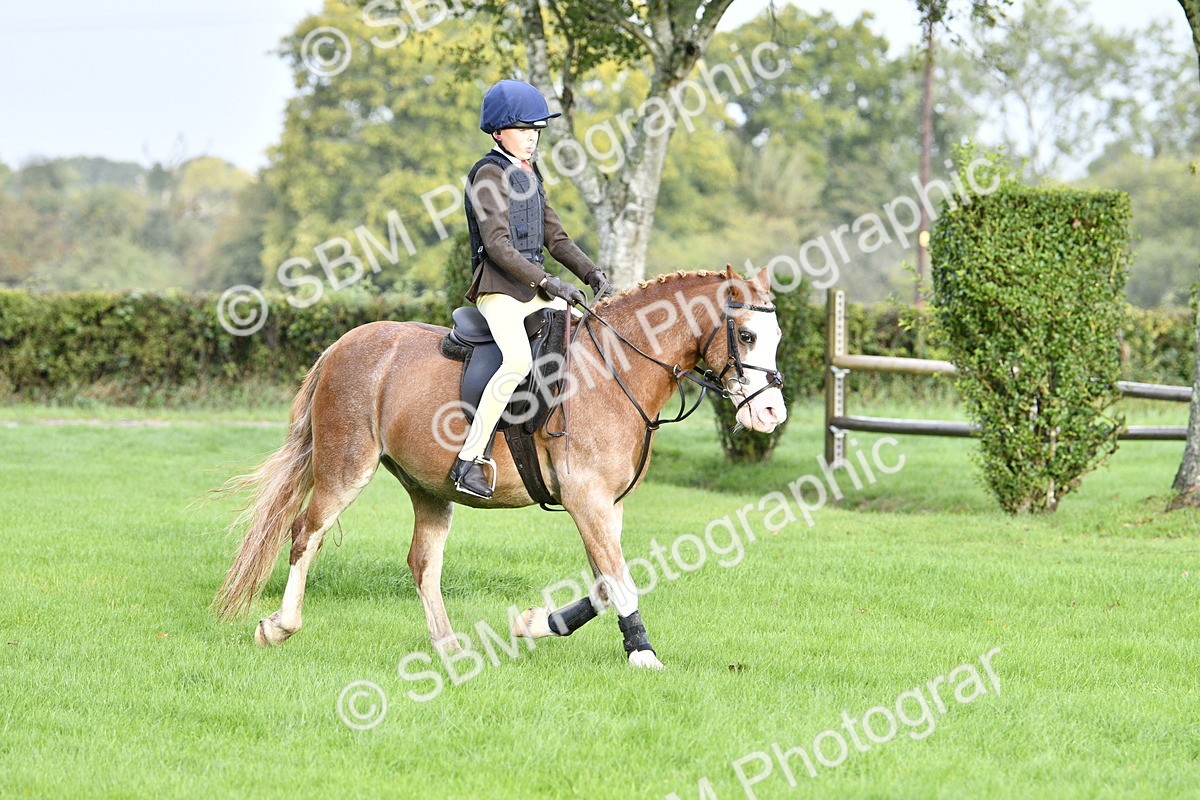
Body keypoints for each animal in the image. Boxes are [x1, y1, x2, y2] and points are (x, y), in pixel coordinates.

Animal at [214, 265, 786, 669]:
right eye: (747, 336)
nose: (772, 414)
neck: (614, 369)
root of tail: (342, 343)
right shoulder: (587, 499)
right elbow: (620, 581)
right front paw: (642, 653)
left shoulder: (608, 504)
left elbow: (607, 583)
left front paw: (535, 623)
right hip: (346, 468)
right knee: (304, 534)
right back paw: (280, 626)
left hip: (429, 487)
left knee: (422, 563)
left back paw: (449, 648)